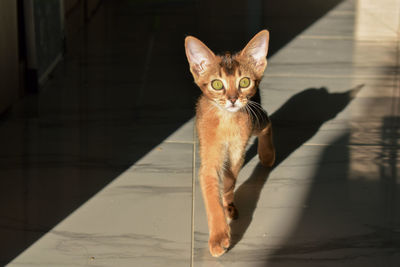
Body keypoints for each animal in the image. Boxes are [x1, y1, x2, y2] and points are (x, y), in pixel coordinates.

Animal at [184, 29, 276, 258]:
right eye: (217, 84)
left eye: (244, 82)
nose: (233, 99)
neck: (227, 120)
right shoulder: (209, 162)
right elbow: (212, 197)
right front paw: (218, 236)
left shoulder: (236, 153)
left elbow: (229, 180)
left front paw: (228, 205)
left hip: (255, 120)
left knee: (267, 121)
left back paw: (267, 155)